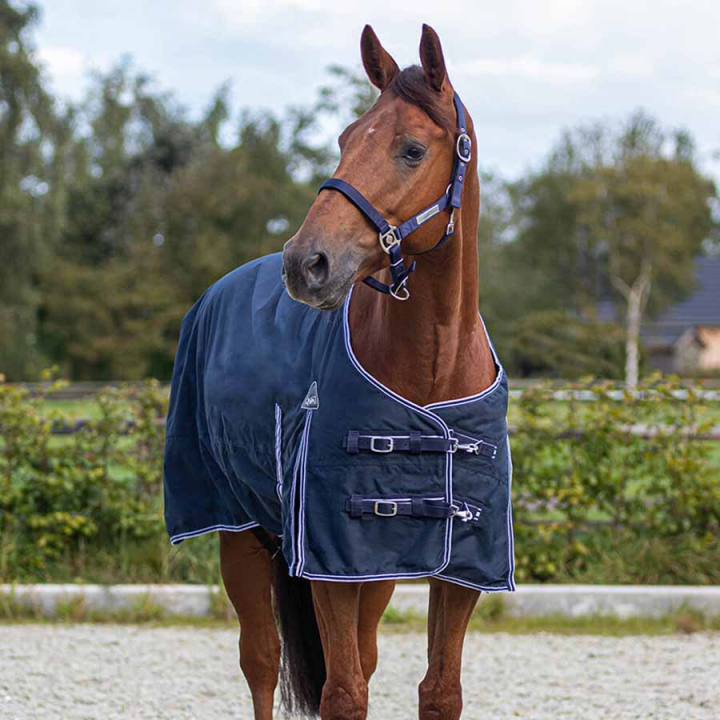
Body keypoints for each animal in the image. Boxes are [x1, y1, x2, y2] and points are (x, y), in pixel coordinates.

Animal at [163, 23, 514, 720]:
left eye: (411, 149)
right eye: (347, 139)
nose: (307, 263)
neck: (431, 374)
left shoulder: (459, 567)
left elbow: (439, 691)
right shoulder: (327, 558)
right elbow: (342, 693)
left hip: (369, 570)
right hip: (241, 533)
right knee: (260, 659)